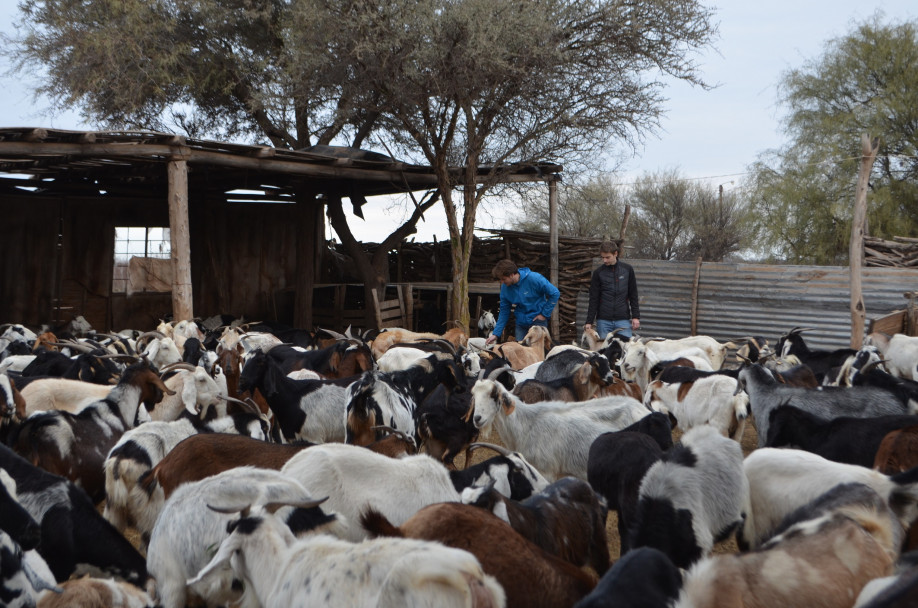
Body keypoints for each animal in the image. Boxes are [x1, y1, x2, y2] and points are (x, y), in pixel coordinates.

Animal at [470, 378, 652, 482]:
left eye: (494, 394)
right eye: (474, 395)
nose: (477, 418)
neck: (526, 424)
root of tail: (643, 410)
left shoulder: (546, 472)